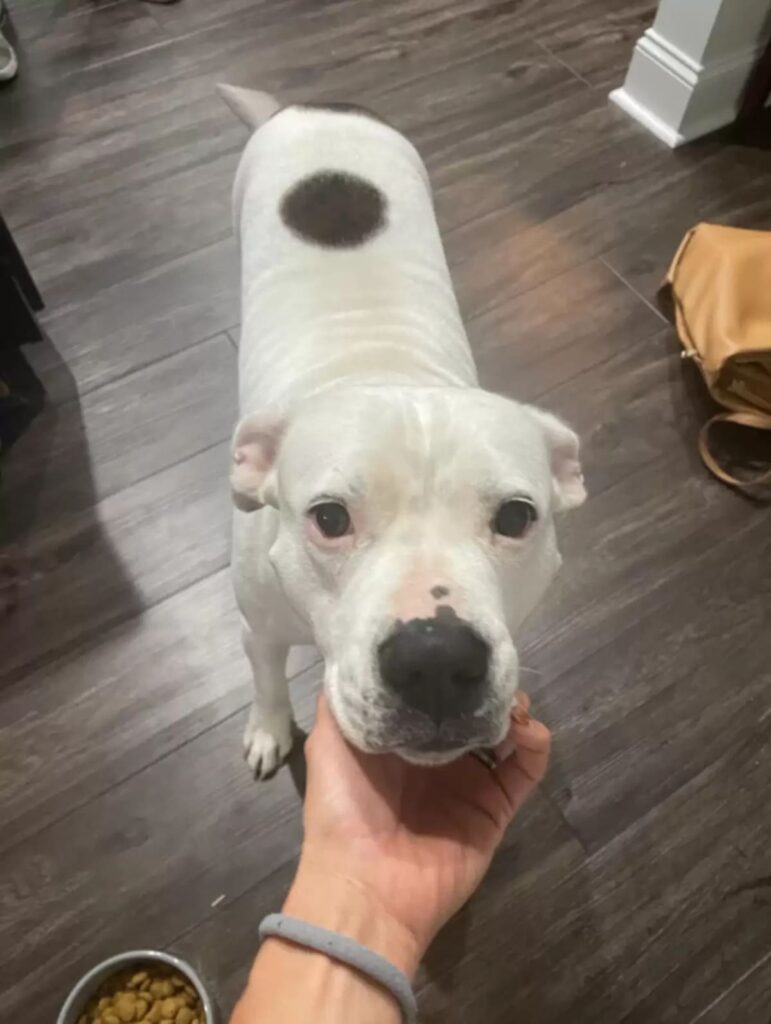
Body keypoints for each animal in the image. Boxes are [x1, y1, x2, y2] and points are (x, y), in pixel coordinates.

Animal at [217, 88, 581, 778]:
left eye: (516, 517)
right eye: (329, 518)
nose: (436, 659)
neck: (383, 367)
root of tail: (313, 104)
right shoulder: (259, 629)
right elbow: (267, 679)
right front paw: (269, 729)